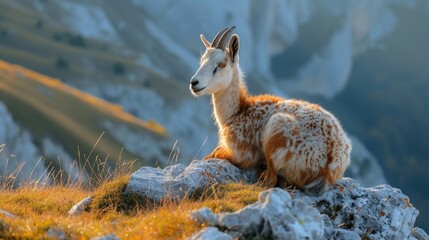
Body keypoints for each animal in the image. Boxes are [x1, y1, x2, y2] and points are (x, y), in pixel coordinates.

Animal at [189, 26, 350, 195]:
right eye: (202, 60)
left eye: (221, 64)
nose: (194, 83)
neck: (238, 112)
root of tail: (329, 168)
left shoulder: (243, 153)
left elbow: (216, 153)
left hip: (276, 130)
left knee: (270, 180)